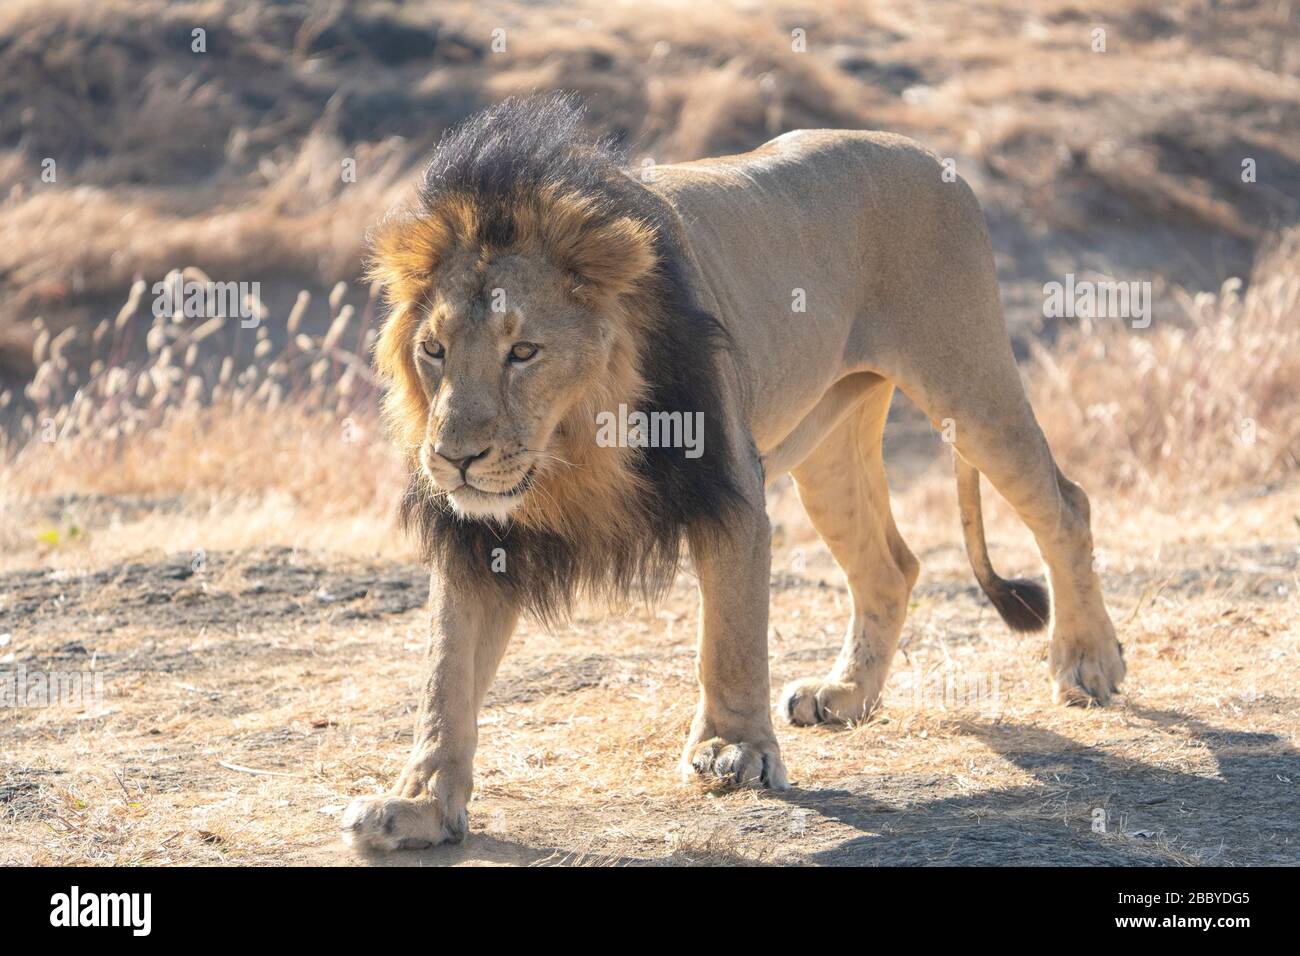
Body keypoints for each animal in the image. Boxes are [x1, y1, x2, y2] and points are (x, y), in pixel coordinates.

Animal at [340, 95, 1123, 853]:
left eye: (524, 352)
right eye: (434, 350)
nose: (454, 457)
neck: (574, 450)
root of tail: (929, 154)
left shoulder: (730, 487)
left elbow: (731, 636)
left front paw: (732, 750)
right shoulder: (475, 535)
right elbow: (445, 675)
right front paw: (418, 805)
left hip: (970, 384)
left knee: (1067, 505)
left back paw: (1088, 663)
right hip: (830, 450)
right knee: (891, 567)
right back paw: (846, 695)